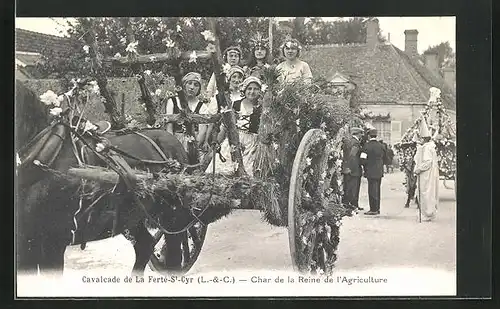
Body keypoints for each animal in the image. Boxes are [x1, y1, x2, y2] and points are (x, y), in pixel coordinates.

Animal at [14, 80, 193, 276]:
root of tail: (173, 140)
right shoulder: (26, 244)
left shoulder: (54, 241)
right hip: (132, 215)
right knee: (145, 246)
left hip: (172, 217)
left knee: (173, 255)